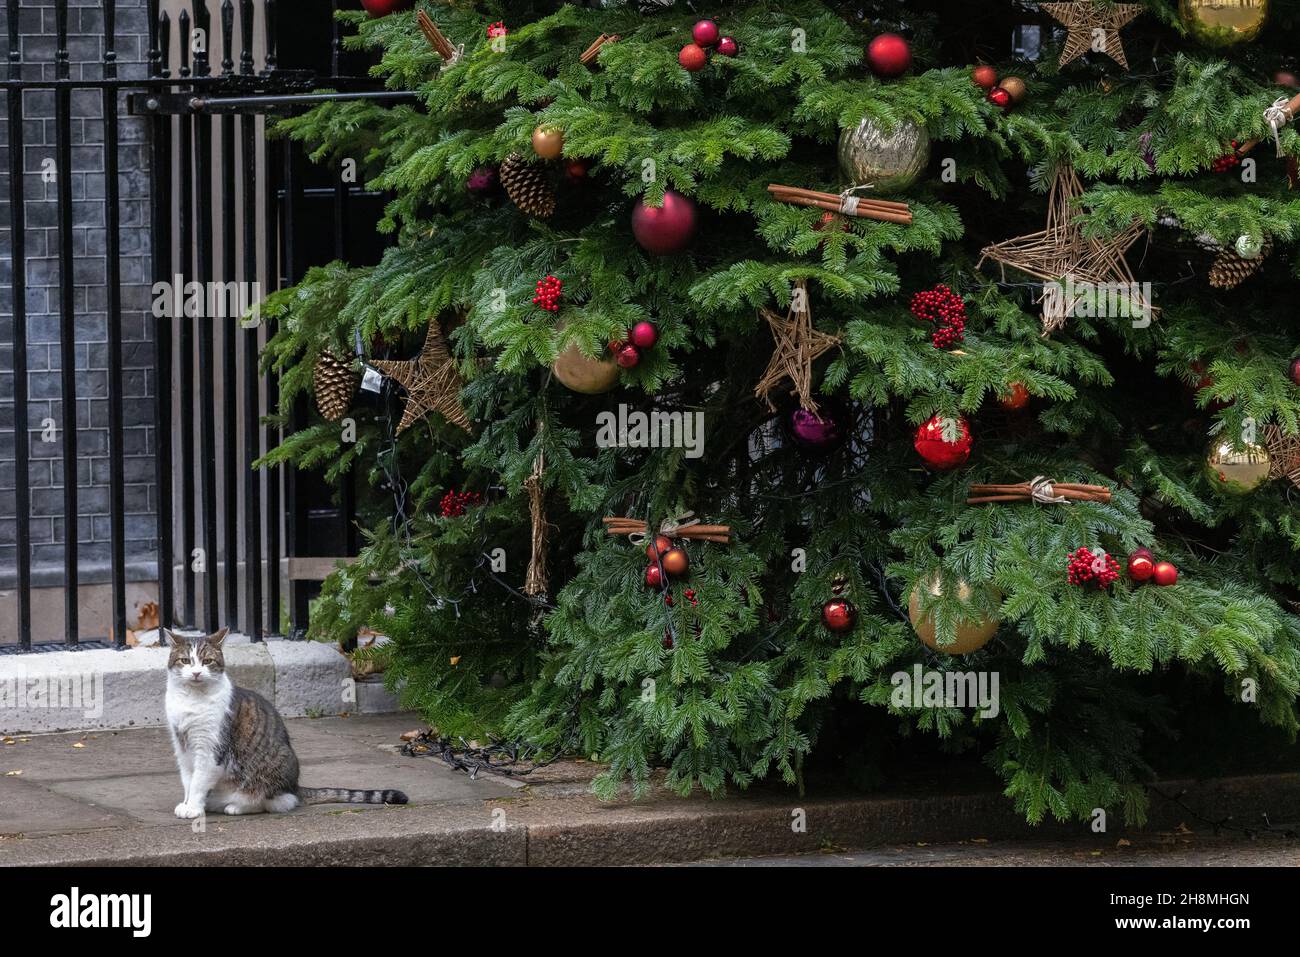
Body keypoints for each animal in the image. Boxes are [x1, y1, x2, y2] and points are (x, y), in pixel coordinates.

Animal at [163, 629, 405, 816]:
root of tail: (296, 786)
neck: (191, 700)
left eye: (207, 661)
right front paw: (187, 804)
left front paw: (193, 809)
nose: (196, 673)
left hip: (274, 767)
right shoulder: (182, 747)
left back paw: (237, 806)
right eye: (185, 661)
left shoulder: (210, 749)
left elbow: (198, 781)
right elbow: (188, 780)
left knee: (277, 801)